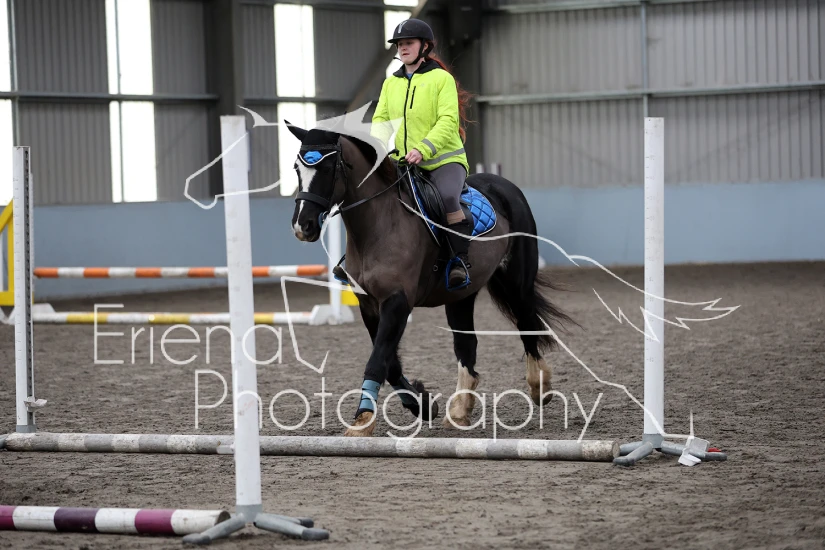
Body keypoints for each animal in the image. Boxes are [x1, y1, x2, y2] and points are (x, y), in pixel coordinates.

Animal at [287, 122, 572, 437]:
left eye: (328, 169)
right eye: (296, 169)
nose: (302, 226)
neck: (380, 223)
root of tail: (504, 186)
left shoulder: (397, 302)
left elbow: (378, 360)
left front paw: (362, 421)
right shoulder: (369, 305)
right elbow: (389, 364)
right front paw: (422, 405)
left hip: (515, 281)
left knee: (526, 322)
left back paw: (539, 387)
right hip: (460, 295)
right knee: (466, 344)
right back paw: (459, 410)